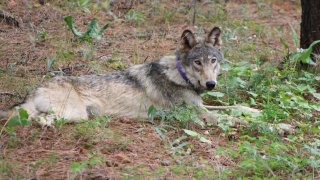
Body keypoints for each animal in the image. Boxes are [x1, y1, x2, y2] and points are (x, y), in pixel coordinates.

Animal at [1, 27, 294, 135]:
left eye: (213, 61)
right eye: (197, 62)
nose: (211, 85)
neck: (181, 76)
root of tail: (34, 90)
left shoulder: (201, 107)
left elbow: (237, 108)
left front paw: (258, 112)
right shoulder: (198, 116)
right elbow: (235, 119)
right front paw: (279, 126)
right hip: (75, 114)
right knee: (33, 119)